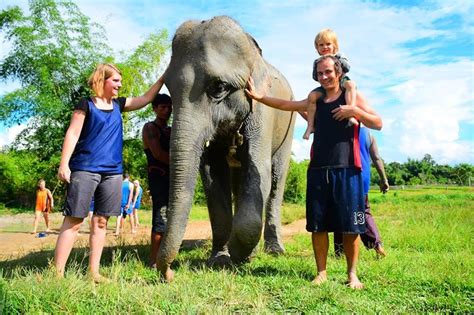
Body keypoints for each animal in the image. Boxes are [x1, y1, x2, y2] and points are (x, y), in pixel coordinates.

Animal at [158, 15, 296, 282]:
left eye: (219, 87)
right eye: (168, 89)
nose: (168, 272)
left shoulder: (263, 109)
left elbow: (259, 170)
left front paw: (239, 253)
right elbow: (213, 178)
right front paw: (221, 260)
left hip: (289, 125)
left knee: (276, 179)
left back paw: (274, 250)